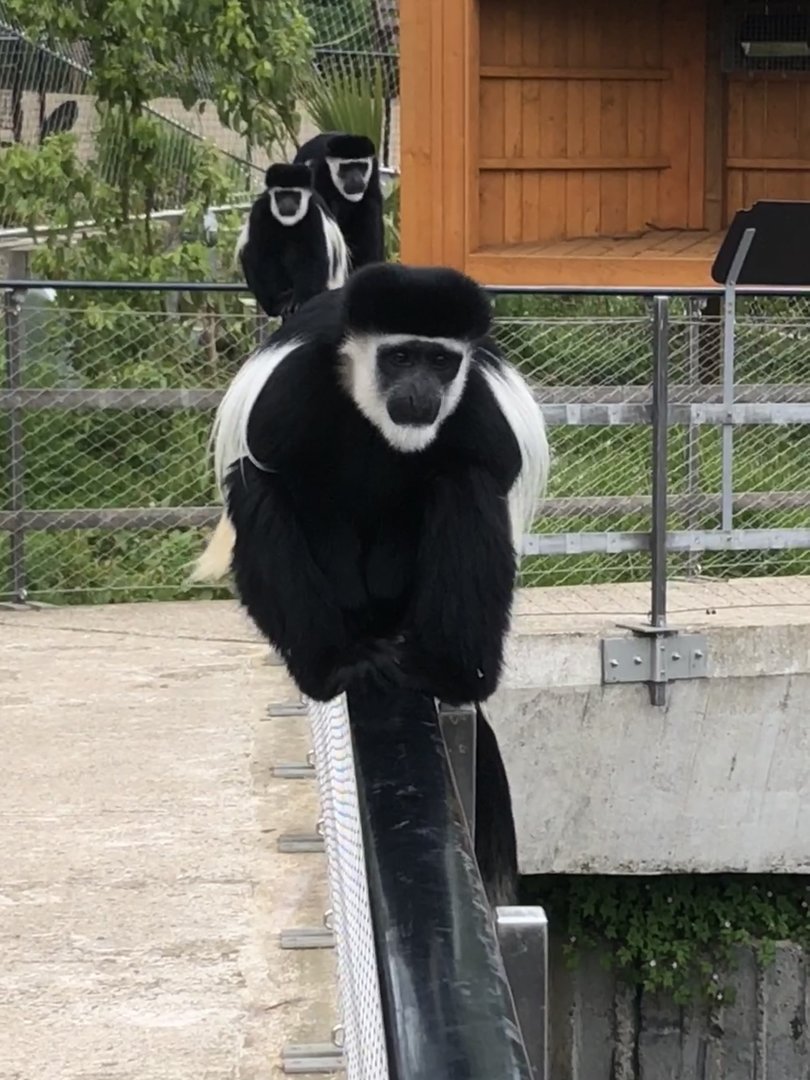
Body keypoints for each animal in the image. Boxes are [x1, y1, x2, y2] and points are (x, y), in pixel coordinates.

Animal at [192, 263, 549, 906]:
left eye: (440, 362)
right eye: (400, 356)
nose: (422, 392)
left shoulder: (479, 405)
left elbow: (490, 472)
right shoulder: (288, 392)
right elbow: (279, 475)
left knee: (463, 483)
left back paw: (450, 669)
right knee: (259, 487)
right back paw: (335, 663)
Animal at [235, 162, 350, 321]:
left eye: (295, 195)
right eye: (281, 195)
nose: (287, 203)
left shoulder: (313, 214)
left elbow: (314, 258)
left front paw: (298, 303)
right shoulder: (260, 211)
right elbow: (258, 255)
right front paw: (278, 302)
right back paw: (281, 301)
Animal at [294, 131, 384, 269]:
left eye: (361, 166)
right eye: (345, 168)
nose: (356, 180)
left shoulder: (372, 172)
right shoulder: (318, 171)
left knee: (370, 206)